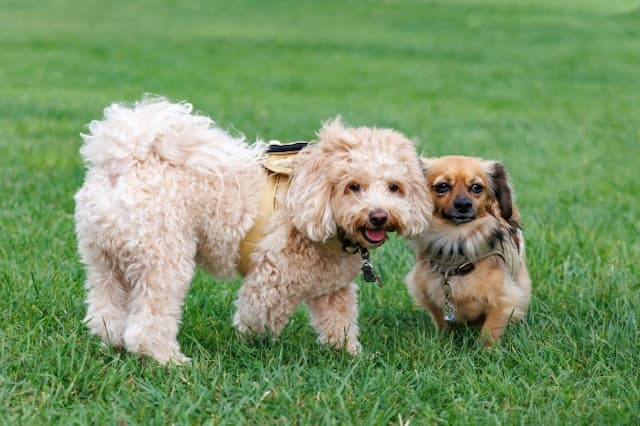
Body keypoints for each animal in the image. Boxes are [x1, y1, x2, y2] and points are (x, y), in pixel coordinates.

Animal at [76, 98, 436, 364]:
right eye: (353, 186)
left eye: (394, 187)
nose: (378, 216)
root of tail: (127, 161)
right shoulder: (271, 278)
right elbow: (259, 317)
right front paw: (255, 346)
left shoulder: (332, 288)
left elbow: (340, 323)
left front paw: (352, 356)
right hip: (164, 259)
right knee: (149, 323)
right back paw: (167, 360)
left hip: (104, 259)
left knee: (105, 310)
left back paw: (114, 343)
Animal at [408, 156, 532, 346]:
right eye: (442, 186)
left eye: (476, 187)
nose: (463, 205)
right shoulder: (429, 296)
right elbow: (441, 322)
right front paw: (444, 343)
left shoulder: (503, 299)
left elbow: (490, 330)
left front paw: (486, 350)